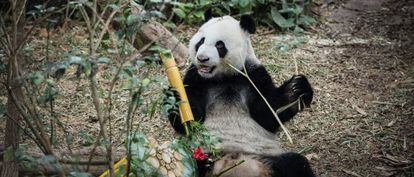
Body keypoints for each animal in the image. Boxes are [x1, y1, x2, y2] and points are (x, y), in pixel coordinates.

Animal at [167, 12, 316, 177]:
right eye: (201, 41)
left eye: (219, 45)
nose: (202, 58)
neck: (225, 77)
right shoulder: (196, 78)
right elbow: (192, 120)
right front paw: (174, 97)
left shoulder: (253, 75)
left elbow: (268, 114)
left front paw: (296, 88)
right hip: (201, 154)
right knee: (187, 161)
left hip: (267, 159)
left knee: (296, 164)